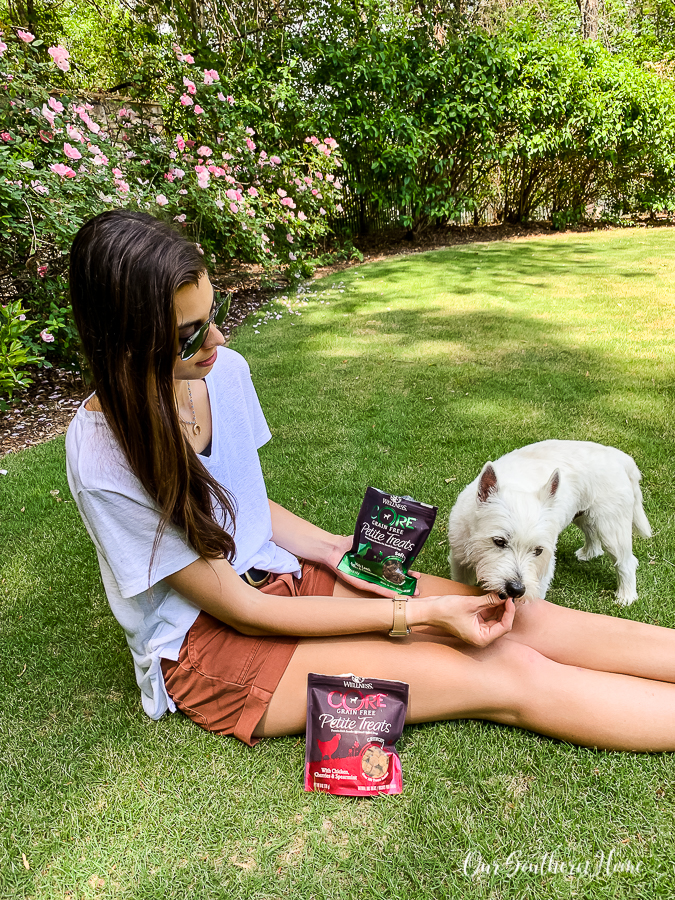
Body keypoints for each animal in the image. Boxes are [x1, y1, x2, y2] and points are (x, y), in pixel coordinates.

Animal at [448, 438, 648, 604]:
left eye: (538, 551)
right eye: (499, 541)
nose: (516, 590)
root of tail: (618, 456)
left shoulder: (541, 575)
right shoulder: (459, 561)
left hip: (611, 527)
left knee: (626, 561)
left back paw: (626, 596)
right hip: (585, 515)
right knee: (592, 535)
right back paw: (587, 553)